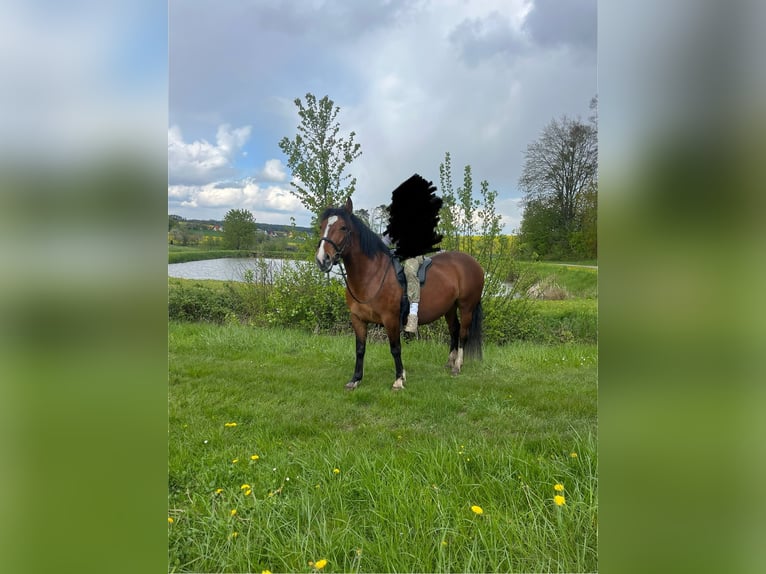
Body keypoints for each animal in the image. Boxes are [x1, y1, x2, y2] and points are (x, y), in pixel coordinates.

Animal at [316, 197, 486, 392]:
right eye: (322, 226)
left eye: (343, 227)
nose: (322, 259)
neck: (372, 275)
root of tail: (473, 263)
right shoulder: (357, 319)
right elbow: (360, 349)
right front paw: (355, 379)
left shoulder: (390, 319)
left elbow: (395, 348)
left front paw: (398, 379)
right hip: (449, 308)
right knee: (454, 330)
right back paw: (450, 362)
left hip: (466, 307)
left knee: (463, 333)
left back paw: (457, 366)